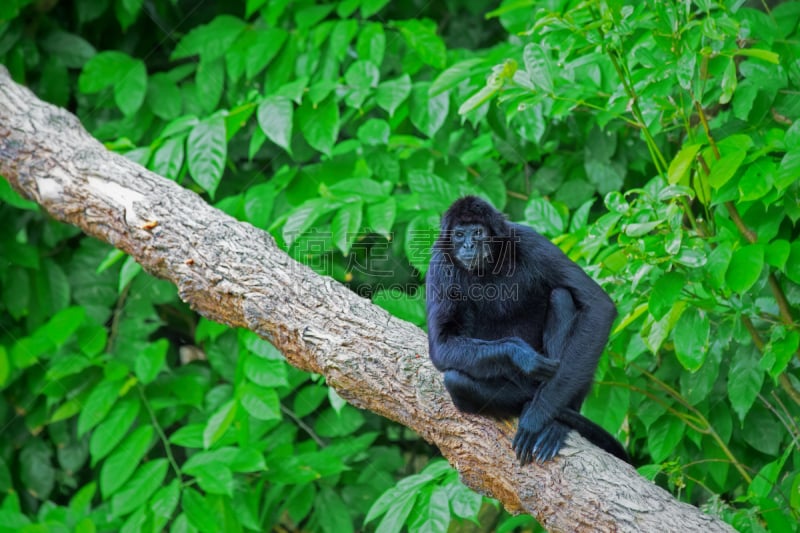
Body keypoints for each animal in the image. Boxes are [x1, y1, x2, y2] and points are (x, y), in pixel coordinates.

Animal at [428, 195, 628, 462]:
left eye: (478, 232)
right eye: (459, 234)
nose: (469, 245)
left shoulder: (529, 241)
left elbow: (599, 306)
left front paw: (537, 417)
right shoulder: (440, 263)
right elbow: (441, 346)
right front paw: (521, 355)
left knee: (561, 296)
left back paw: (555, 422)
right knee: (456, 380)